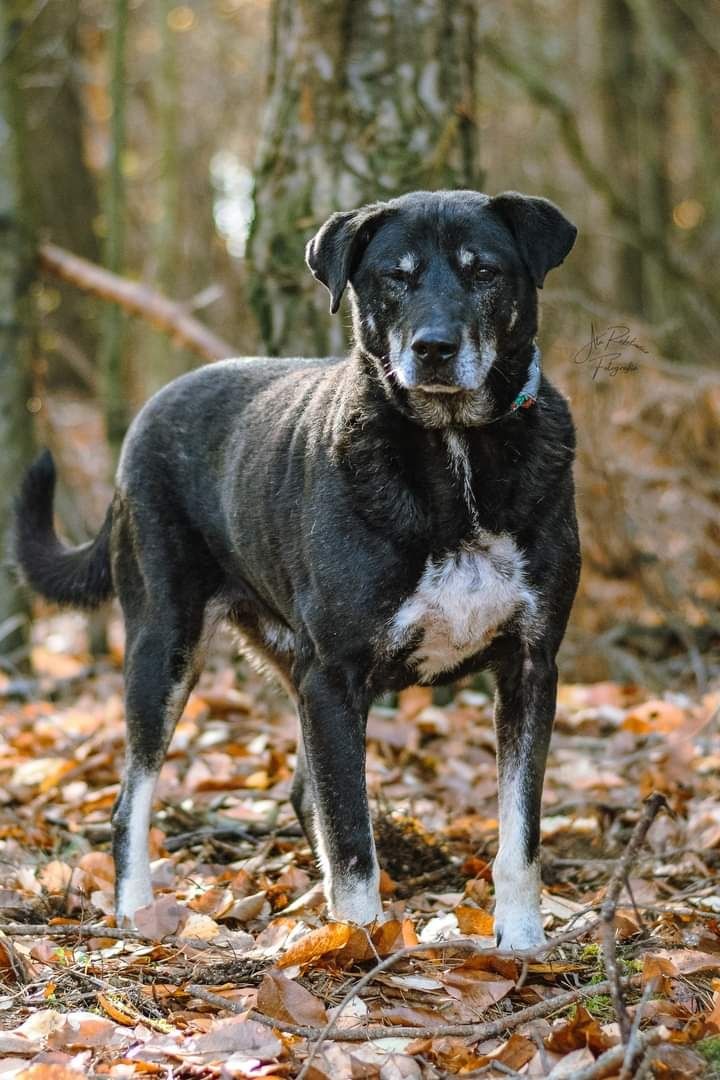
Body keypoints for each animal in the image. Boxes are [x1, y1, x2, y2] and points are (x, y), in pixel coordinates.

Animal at [15, 190, 578, 950]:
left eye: (483, 270)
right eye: (395, 277)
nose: (433, 348)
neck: (453, 450)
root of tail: (147, 415)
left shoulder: (529, 663)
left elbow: (519, 834)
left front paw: (522, 946)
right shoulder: (335, 675)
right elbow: (354, 841)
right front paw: (357, 949)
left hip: (290, 664)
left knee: (304, 790)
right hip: (166, 645)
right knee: (134, 796)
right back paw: (136, 913)